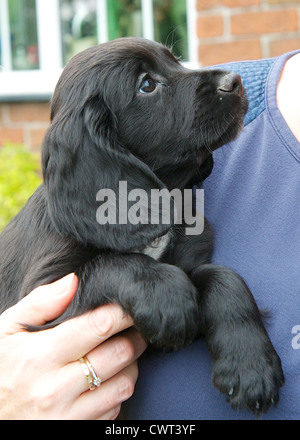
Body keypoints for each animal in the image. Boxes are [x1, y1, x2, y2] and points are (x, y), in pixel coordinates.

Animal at [0, 37, 284, 412]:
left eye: (176, 59)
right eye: (146, 85)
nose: (234, 81)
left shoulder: (189, 261)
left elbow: (222, 276)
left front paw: (251, 366)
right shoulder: (44, 303)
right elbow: (111, 264)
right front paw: (167, 297)